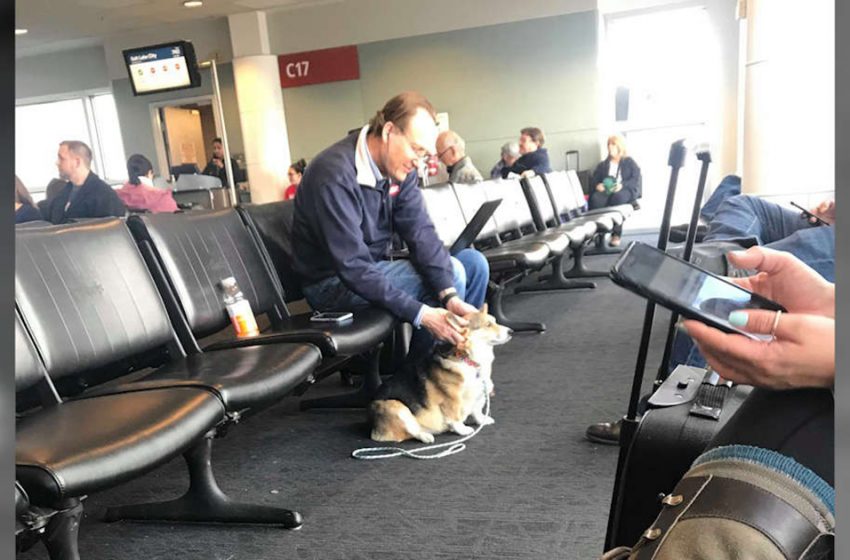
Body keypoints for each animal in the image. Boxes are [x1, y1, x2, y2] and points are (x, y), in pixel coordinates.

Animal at [366, 306, 510, 442]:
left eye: (495, 321)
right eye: (488, 324)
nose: (511, 331)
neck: (468, 359)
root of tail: (373, 428)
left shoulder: (479, 394)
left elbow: (477, 411)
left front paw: (483, 420)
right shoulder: (452, 400)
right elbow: (455, 417)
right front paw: (463, 430)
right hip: (397, 407)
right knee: (410, 432)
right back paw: (426, 436)